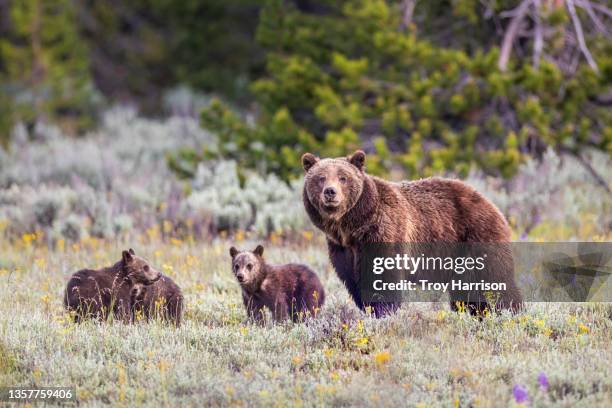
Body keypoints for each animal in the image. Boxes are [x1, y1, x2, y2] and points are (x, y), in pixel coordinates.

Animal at [302, 150, 520, 316]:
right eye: (321, 178)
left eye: (343, 177)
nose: (330, 192)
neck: (352, 227)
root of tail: (493, 205)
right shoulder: (342, 248)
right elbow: (353, 280)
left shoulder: (384, 232)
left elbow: (382, 278)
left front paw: (383, 311)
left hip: (477, 236)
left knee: (494, 279)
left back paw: (510, 312)